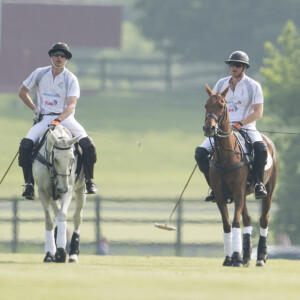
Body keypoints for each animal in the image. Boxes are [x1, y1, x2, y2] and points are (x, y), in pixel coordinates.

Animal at [33, 125, 86, 262]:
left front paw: (61, 252)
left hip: (81, 189)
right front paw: (50, 253)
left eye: (72, 159)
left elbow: (62, 215)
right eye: (56, 159)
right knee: (56, 214)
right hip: (53, 195)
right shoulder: (43, 191)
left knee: (77, 217)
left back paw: (73, 254)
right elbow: (49, 221)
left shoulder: (69, 189)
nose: (62, 188)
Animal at [203, 84, 278, 268]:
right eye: (206, 105)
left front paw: (235, 258)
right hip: (244, 193)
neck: (225, 157)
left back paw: (260, 258)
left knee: (263, 219)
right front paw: (229, 258)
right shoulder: (221, 195)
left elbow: (236, 222)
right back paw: (246, 257)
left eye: (221, 105)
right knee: (248, 219)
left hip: (268, 190)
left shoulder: (237, 191)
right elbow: (227, 224)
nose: (209, 128)